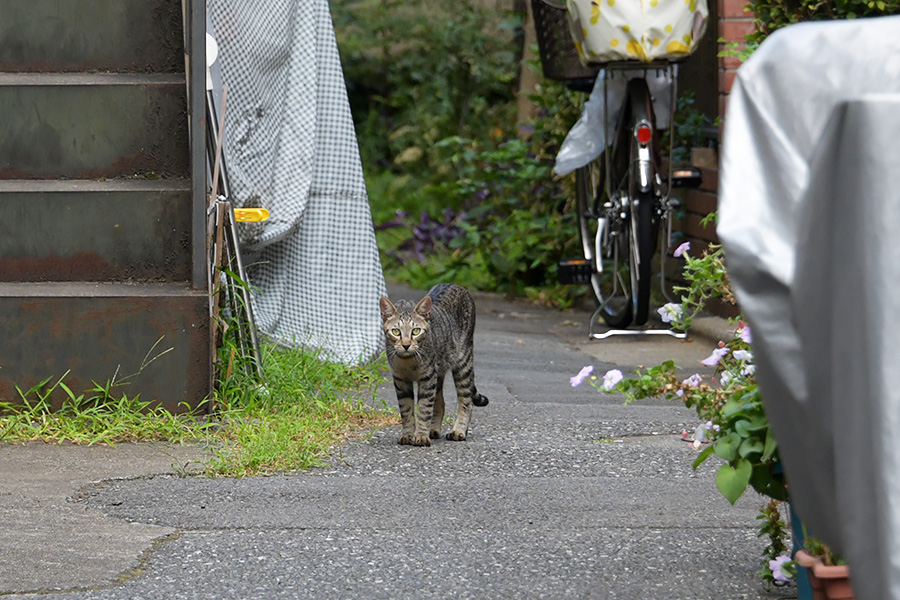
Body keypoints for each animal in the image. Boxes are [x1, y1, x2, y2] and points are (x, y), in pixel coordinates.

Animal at [380, 284, 492, 446]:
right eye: (396, 331)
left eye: (416, 331)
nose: (406, 345)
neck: (408, 362)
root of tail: (458, 286)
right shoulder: (400, 380)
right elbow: (406, 410)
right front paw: (408, 434)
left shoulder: (428, 377)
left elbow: (424, 409)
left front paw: (420, 436)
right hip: (439, 372)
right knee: (440, 402)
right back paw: (433, 430)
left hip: (463, 363)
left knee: (466, 401)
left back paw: (458, 431)